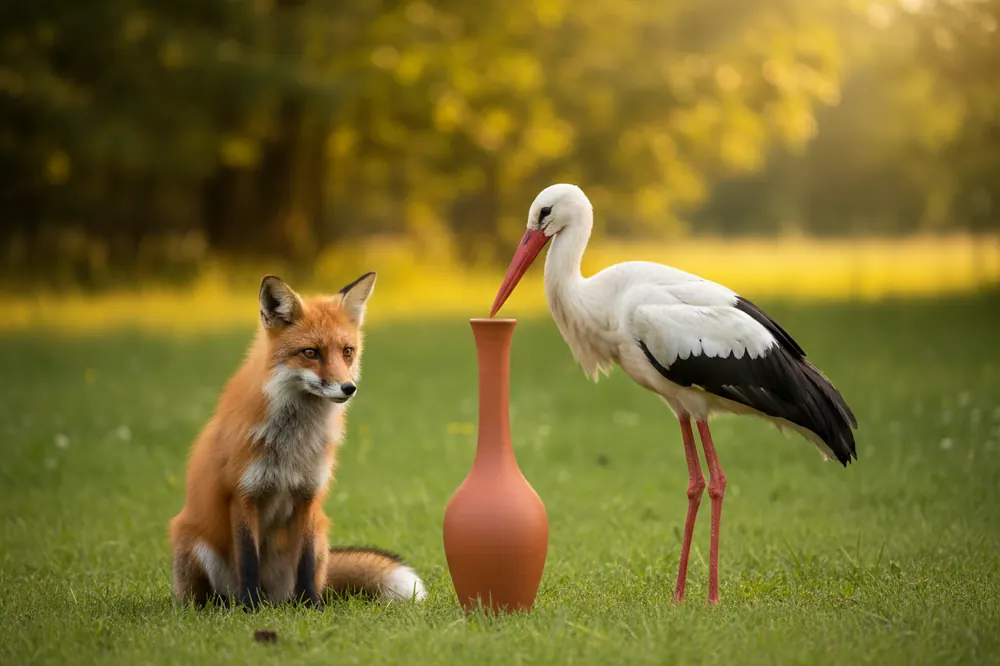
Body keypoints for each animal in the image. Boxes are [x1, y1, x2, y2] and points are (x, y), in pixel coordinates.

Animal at [169, 271, 426, 609]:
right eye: (310, 352)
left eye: (347, 351)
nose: (348, 388)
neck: (292, 444)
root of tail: (274, 597)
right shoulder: (242, 495)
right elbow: (248, 560)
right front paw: (249, 608)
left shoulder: (308, 495)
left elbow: (304, 562)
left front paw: (312, 606)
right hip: (195, 543)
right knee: (213, 594)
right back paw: (231, 605)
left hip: (320, 535)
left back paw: (293, 603)